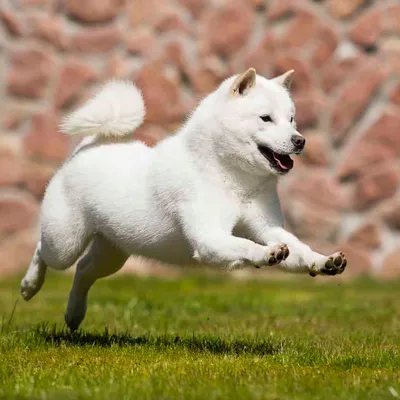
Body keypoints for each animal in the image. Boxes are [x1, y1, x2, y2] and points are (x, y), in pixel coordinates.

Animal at [19, 69, 346, 330]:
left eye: (291, 119)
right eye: (266, 118)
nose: (300, 140)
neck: (230, 177)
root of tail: (89, 146)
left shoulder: (269, 228)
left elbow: (299, 251)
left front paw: (325, 261)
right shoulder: (209, 237)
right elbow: (244, 245)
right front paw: (267, 254)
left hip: (112, 252)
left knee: (84, 271)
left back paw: (74, 314)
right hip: (65, 242)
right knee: (43, 250)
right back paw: (29, 286)